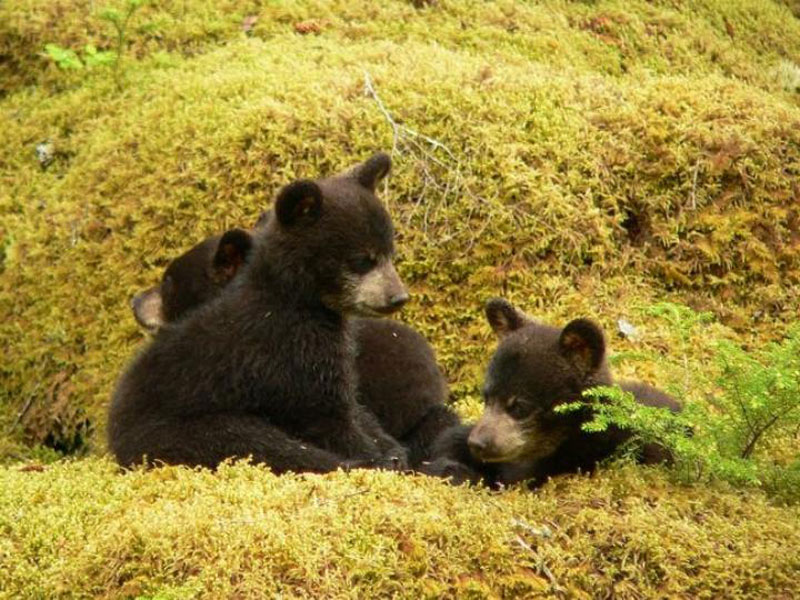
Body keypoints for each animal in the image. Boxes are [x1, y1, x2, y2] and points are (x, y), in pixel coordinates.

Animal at [109, 153, 415, 472]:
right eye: (363, 260)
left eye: (389, 253)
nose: (398, 296)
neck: (298, 299)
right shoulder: (290, 349)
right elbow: (325, 413)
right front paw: (374, 457)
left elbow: (355, 406)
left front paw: (392, 449)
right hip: (185, 428)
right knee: (255, 443)